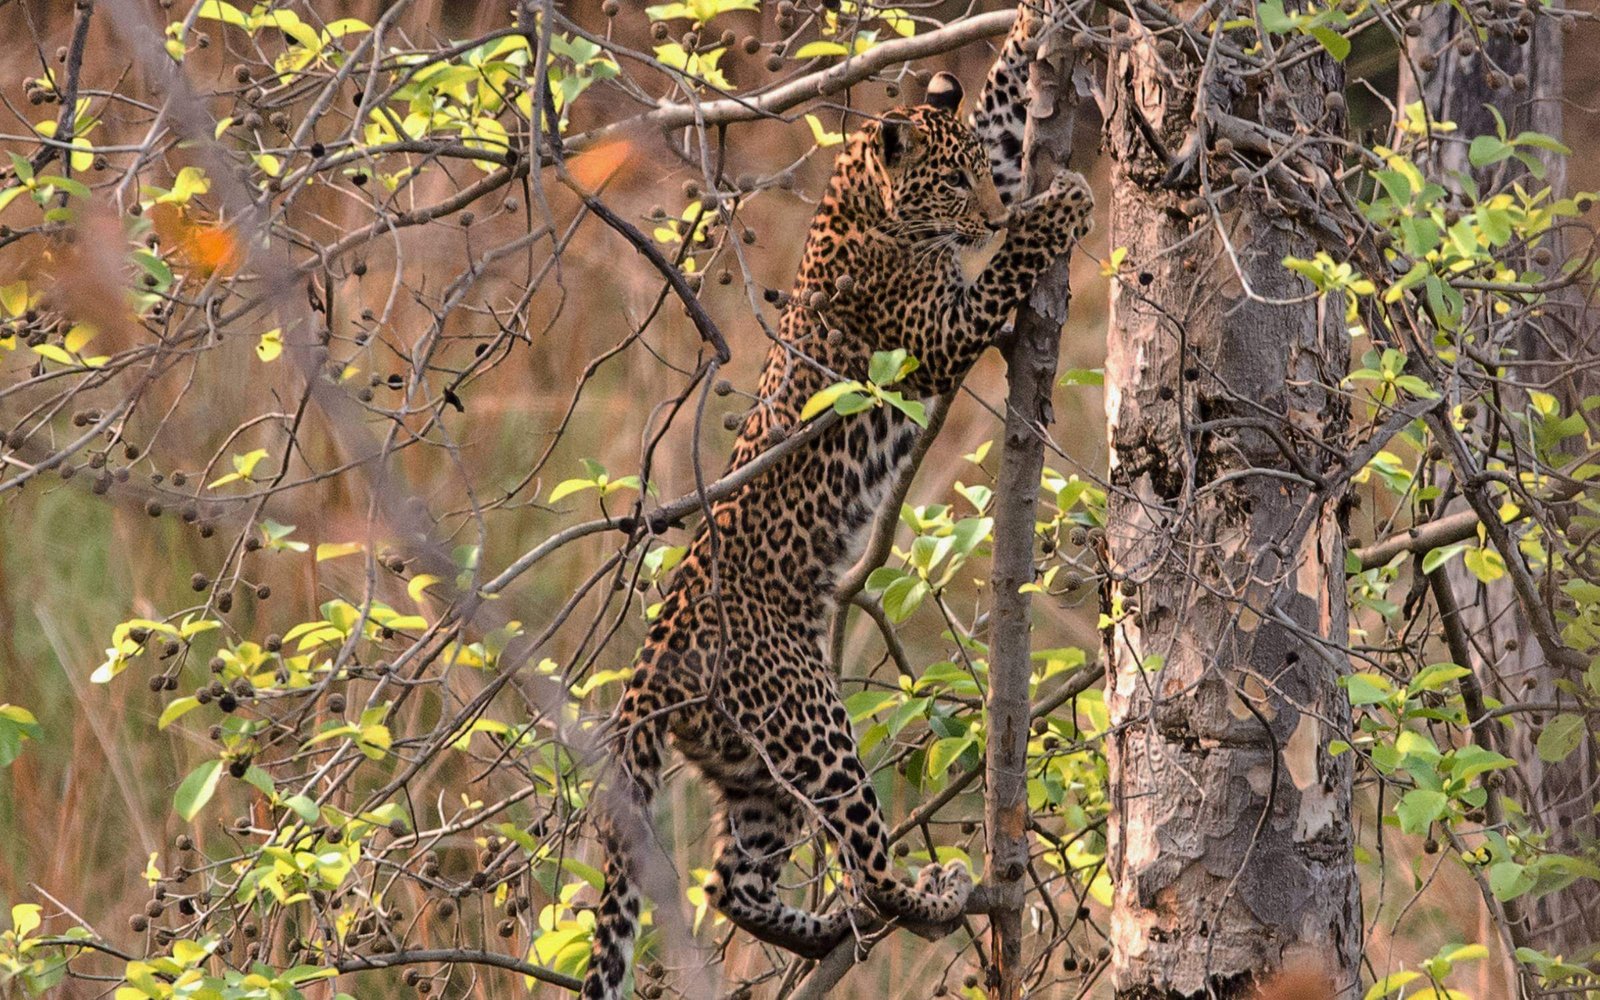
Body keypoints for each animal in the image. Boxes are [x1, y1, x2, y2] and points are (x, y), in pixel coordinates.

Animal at [576, 15, 1088, 998]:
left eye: (978, 172)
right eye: (952, 182)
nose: (988, 214)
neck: (862, 194)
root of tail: (651, 671)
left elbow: (1005, 103)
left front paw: (1035, 25)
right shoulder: (934, 332)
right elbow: (1009, 263)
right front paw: (1061, 203)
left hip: (752, 768)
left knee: (730, 881)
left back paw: (821, 934)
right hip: (812, 724)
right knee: (862, 853)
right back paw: (925, 897)